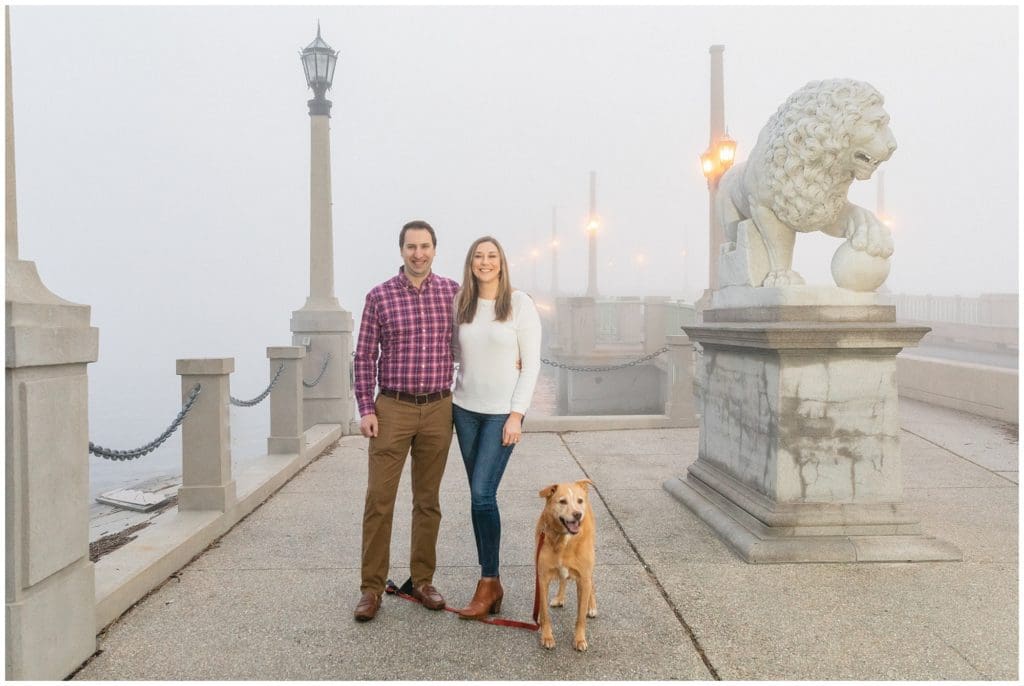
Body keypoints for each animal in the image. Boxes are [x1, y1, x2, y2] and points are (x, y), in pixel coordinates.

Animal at [532, 481, 598, 651]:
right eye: (562, 501)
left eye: (579, 501)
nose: (577, 514)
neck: (564, 540)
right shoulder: (542, 578)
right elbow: (544, 613)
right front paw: (547, 636)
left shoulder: (583, 578)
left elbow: (580, 616)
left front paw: (579, 639)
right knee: (563, 579)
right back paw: (560, 598)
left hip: (589, 569)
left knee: (592, 583)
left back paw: (592, 607)